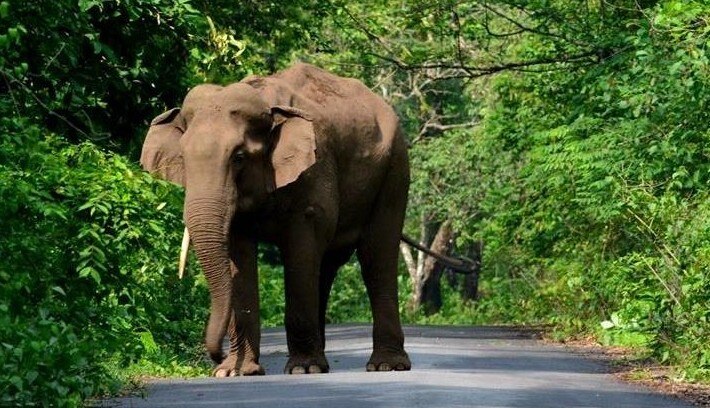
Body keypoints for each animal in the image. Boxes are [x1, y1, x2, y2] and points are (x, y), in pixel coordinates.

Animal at [140, 63, 414, 376]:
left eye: (239, 157)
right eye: (183, 158)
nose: (217, 356)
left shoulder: (314, 170)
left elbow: (301, 249)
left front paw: (303, 369)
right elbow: (239, 256)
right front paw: (236, 372)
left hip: (395, 169)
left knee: (376, 256)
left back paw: (385, 365)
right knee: (327, 266)